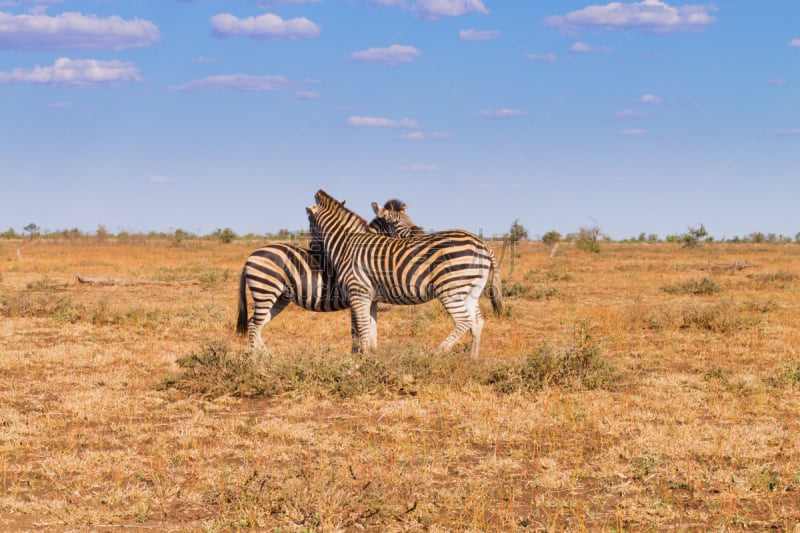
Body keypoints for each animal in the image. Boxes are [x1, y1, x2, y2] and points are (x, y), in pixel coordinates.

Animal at [236, 200, 422, 350]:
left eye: (410, 218)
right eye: (395, 222)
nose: (419, 234)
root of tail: (250, 256)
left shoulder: (370, 299)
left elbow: (368, 331)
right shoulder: (357, 297)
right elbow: (358, 331)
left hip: (280, 296)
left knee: (256, 323)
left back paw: (265, 356)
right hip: (265, 290)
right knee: (254, 325)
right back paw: (255, 360)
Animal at [306, 189, 500, 356]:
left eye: (309, 224)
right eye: (395, 222)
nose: (312, 248)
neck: (346, 245)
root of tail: (482, 244)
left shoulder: (358, 293)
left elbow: (360, 328)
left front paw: (364, 359)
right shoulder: (371, 298)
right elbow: (370, 329)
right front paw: (371, 356)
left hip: (450, 289)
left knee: (464, 321)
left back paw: (436, 352)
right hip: (471, 290)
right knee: (477, 322)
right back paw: (472, 360)